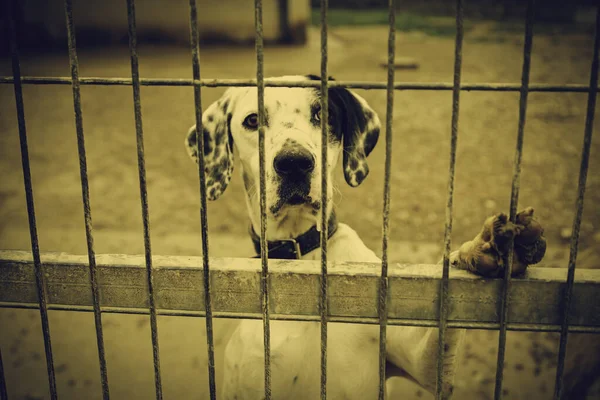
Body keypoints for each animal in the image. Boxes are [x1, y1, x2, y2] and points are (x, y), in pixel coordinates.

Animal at [185, 74, 548, 396]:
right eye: (252, 120)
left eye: (324, 115)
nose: (294, 163)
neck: (304, 258)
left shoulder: (427, 366)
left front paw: (485, 248)